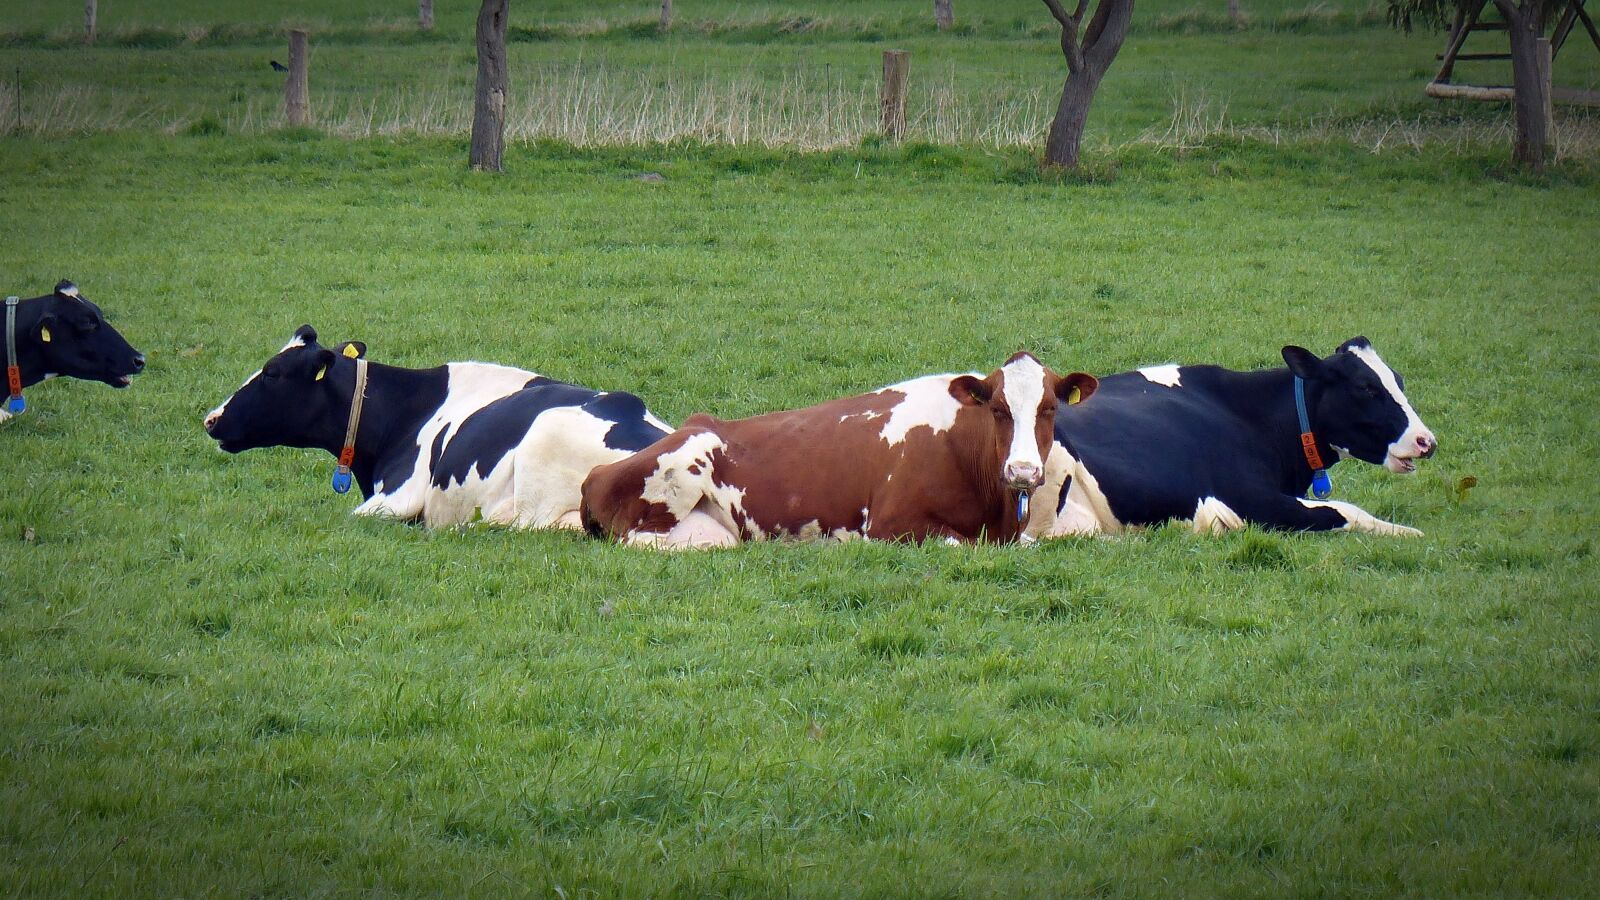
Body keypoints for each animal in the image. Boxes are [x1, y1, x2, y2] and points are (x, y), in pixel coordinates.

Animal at [581, 352, 1099, 549]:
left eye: (1050, 408)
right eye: (997, 409)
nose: (1024, 471)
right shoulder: (893, 524)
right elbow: (960, 543)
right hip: (686, 465)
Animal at [1030, 337, 1437, 539]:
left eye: (1399, 380)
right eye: (1366, 387)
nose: (1426, 442)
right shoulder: (1250, 498)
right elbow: (1345, 510)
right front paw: (1409, 532)